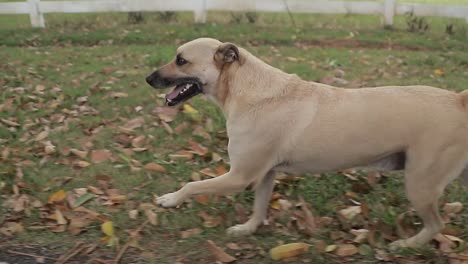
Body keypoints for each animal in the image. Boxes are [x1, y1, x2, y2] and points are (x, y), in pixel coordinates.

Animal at [146, 37, 468, 248]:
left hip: (420, 184)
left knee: (436, 225)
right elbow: (259, 207)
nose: (148, 78)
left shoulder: (240, 176)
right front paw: (248, 229)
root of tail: (458, 100)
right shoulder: (265, 175)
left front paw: (170, 199)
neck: (245, 88)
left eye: (181, 60)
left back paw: (406, 245)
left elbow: (192, 185)